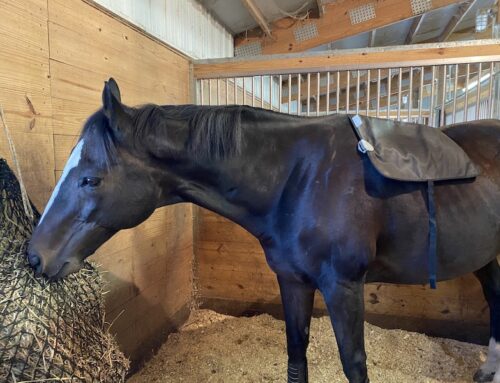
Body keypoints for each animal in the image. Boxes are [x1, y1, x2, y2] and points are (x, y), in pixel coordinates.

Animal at [28, 79, 500, 383]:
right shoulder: (292, 281)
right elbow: (296, 356)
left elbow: (354, 365)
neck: (299, 176)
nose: (35, 256)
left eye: (90, 179)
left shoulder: (344, 286)